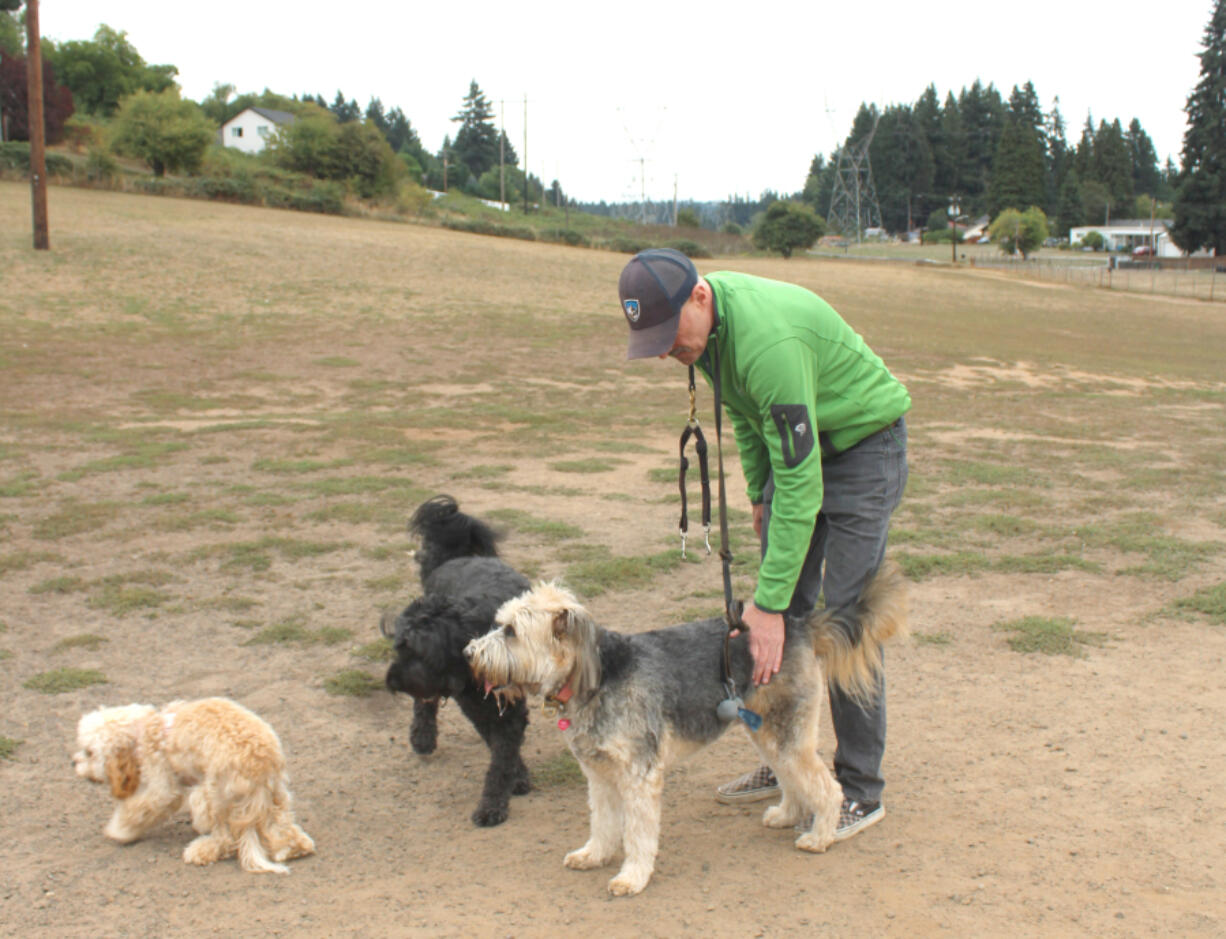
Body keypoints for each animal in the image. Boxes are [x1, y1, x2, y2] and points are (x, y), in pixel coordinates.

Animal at [70, 696, 316, 872]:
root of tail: (258, 764)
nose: (73, 762)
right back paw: (291, 849)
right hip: (276, 794)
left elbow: (138, 808)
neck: (147, 729)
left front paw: (119, 831)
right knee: (283, 828)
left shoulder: (162, 787)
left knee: (225, 838)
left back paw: (200, 851)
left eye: (89, 752)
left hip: (208, 797)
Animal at [382, 495, 532, 828]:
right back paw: (423, 737)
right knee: (424, 704)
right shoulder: (477, 706)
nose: (393, 680)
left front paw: (493, 804)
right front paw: (516, 780)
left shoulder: (506, 707)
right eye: (400, 648)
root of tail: (455, 557)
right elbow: (500, 748)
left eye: (422, 652)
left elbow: (502, 756)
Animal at [463, 563, 907, 902]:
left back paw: (821, 836)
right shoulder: (599, 775)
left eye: (511, 631)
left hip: (788, 733)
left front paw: (632, 877)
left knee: (827, 788)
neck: (598, 677)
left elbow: (638, 833)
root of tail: (797, 626)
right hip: (768, 733)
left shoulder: (638, 777)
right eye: (500, 624)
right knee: (793, 779)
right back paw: (787, 815)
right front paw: (594, 855)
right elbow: (603, 823)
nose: (468, 653)